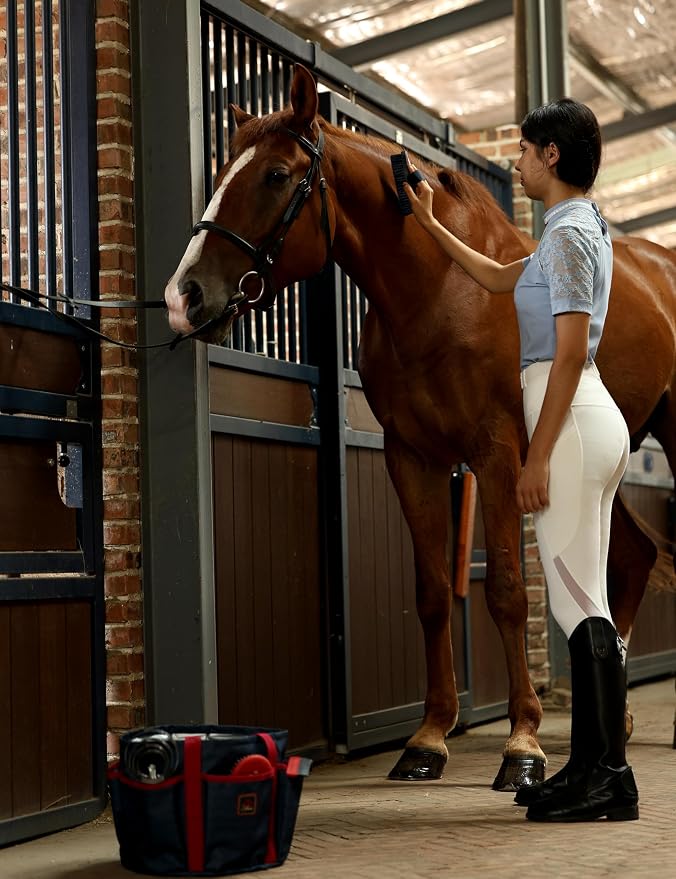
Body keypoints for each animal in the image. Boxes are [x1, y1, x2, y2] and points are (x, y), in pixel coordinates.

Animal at [165, 63, 676, 789]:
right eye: (220, 172)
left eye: (275, 175)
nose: (184, 297)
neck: (441, 289)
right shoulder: (411, 457)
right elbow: (433, 592)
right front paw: (428, 738)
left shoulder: (497, 455)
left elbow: (509, 593)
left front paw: (522, 743)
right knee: (630, 555)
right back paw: (618, 718)